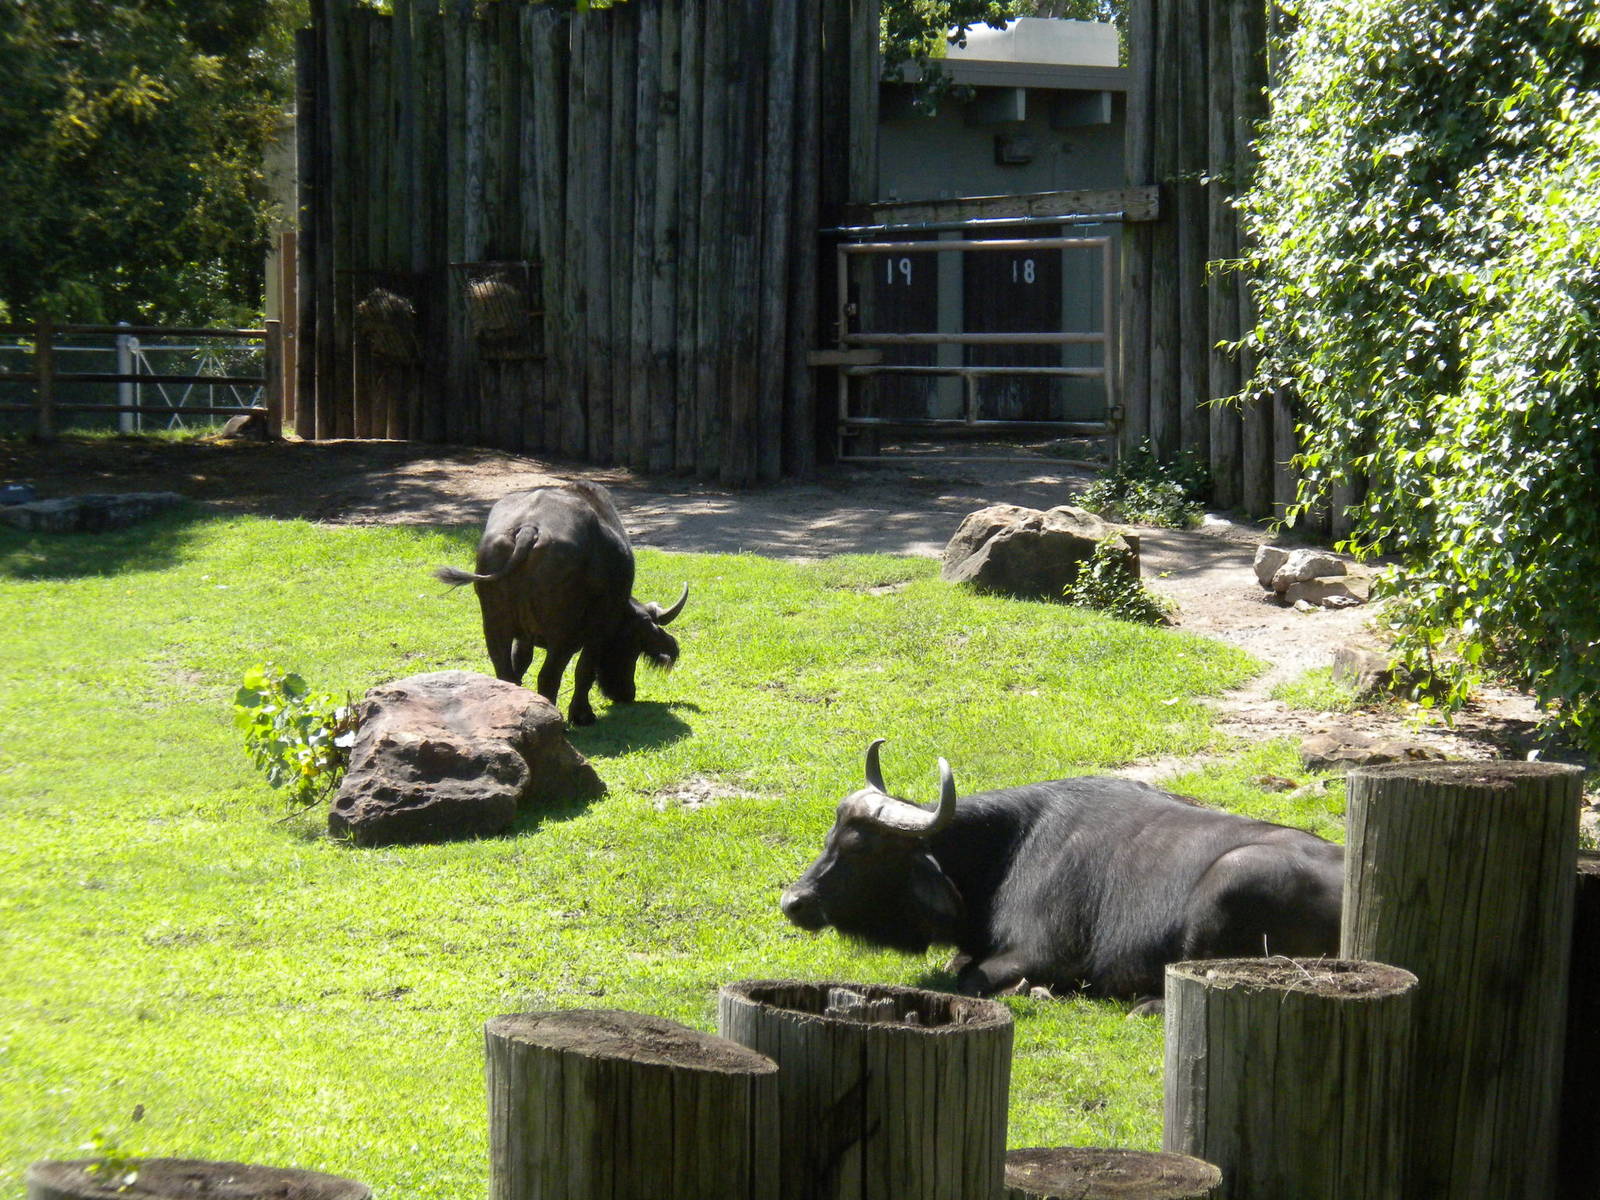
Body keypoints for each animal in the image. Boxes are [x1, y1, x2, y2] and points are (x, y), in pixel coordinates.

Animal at [434, 481, 687, 725]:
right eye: (634, 645)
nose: (626, 693)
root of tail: (529, 529)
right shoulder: (598, 633)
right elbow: (584, 670)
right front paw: (582, 715)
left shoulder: (524, 637)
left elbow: (522, 659)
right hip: (563, 635)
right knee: (549, 676)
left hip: (494, 625)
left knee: (505, 670)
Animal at [780, 740, 1343, 1005]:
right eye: (832, 835)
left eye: (863, 849)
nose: (794, 902)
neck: (1009, 849)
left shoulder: (1041, 956)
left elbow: (969, 977)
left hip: (1231, 877)